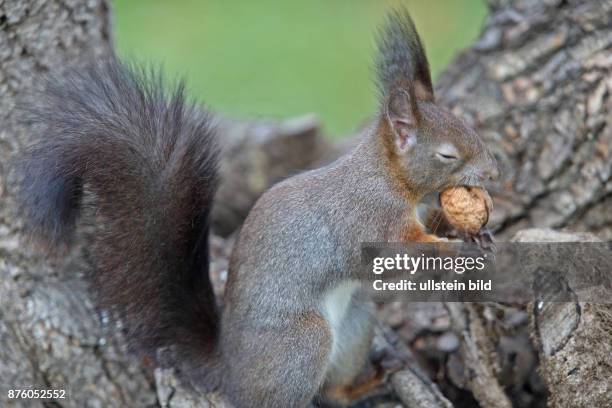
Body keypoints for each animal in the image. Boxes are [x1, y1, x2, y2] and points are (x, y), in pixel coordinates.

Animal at [16, 6, 500, 408]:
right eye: (447, 155)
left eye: (468, 125)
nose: (493, 172)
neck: (388, 178)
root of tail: (231, 372)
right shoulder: (368, 218)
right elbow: (405, 250)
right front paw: (457, 249)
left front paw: (473, 231)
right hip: (303, 342)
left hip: (355, 321)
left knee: (335, 391)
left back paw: (369, 382)